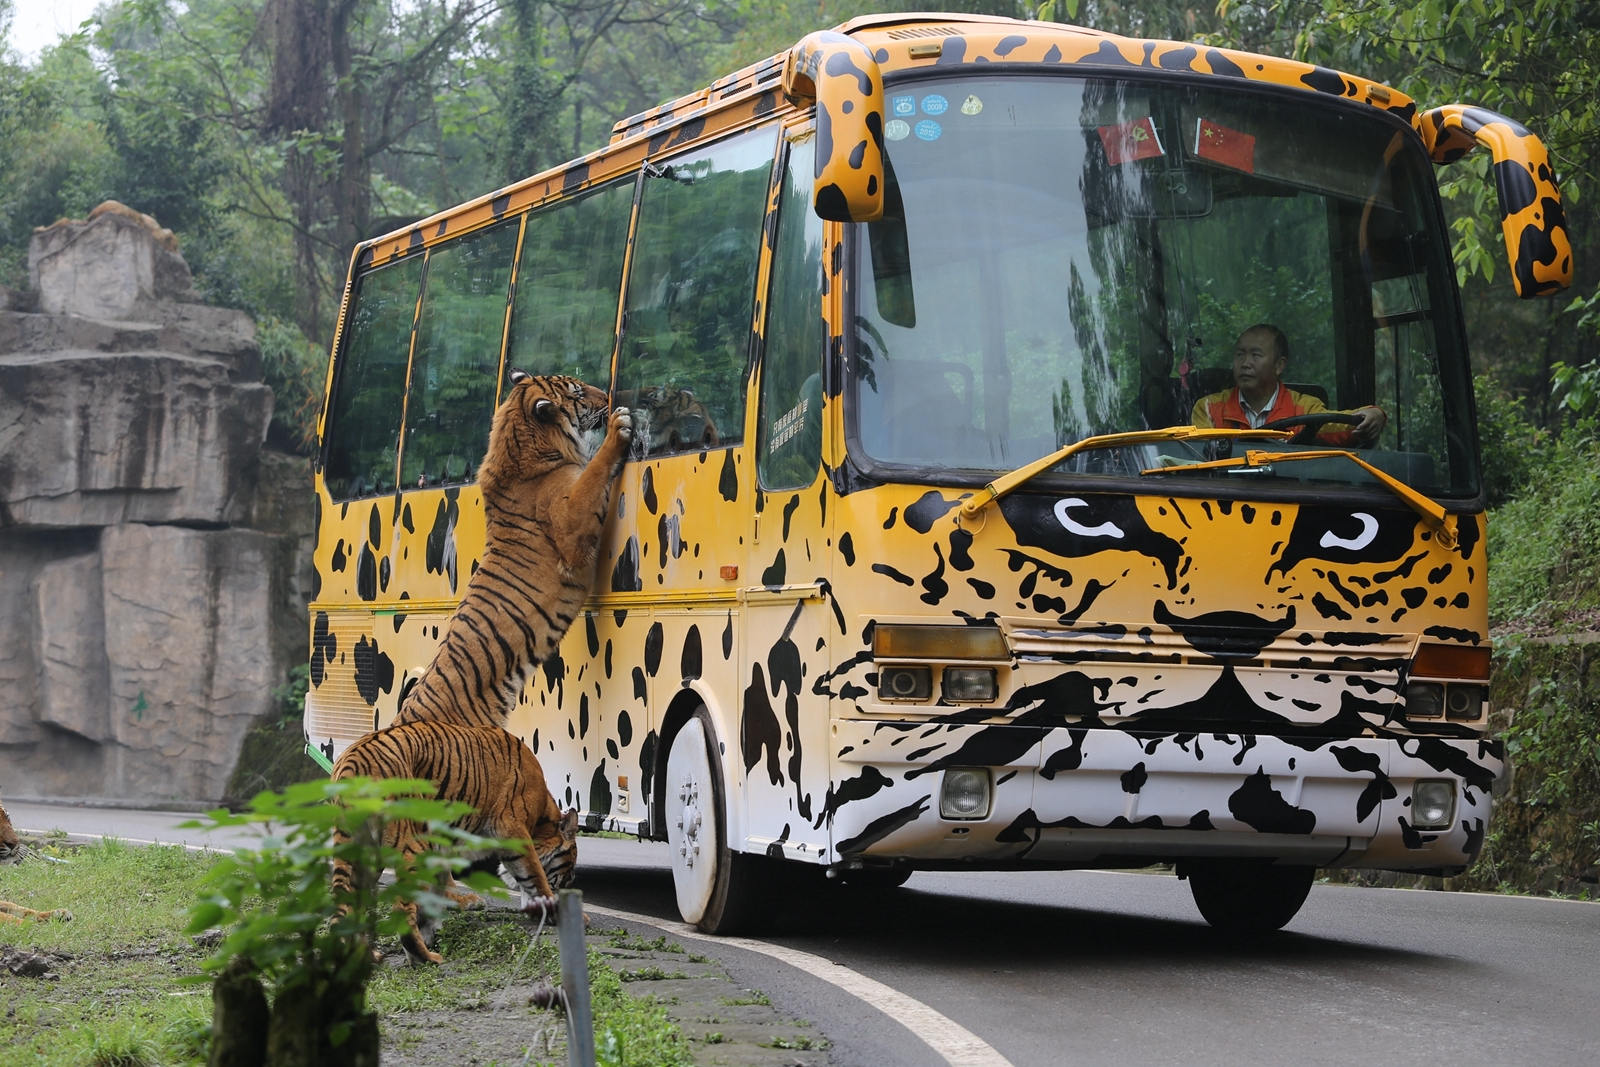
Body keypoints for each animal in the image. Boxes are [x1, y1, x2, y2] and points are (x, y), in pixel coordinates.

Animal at [0, 793, 73, 927]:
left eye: (7, 817)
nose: (15, 843)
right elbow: (7, 916)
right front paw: (30, 926)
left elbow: (17, 906)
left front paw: (57, 914)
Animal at [328, 723, 579, 966]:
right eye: (570, 866)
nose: (570, 882)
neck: (542, 821)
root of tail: (351, 762)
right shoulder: (512, 830)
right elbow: (536, 877)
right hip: (415, 846)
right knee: (401, 908)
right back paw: (425, 958)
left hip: (364, 856)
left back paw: (368, 956)